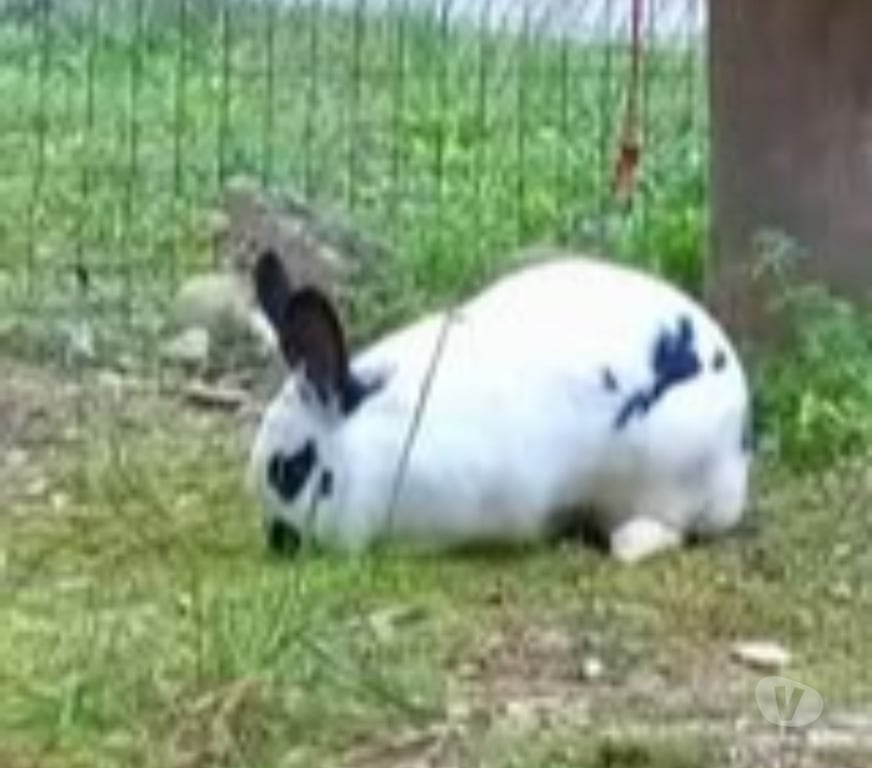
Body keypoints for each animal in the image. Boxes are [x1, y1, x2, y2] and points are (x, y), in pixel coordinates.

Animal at [246, 247, 753, 563]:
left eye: (290, 470)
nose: (278, 539)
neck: (377, 448)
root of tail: (741, 442)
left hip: (668, 475)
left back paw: (629, 540)